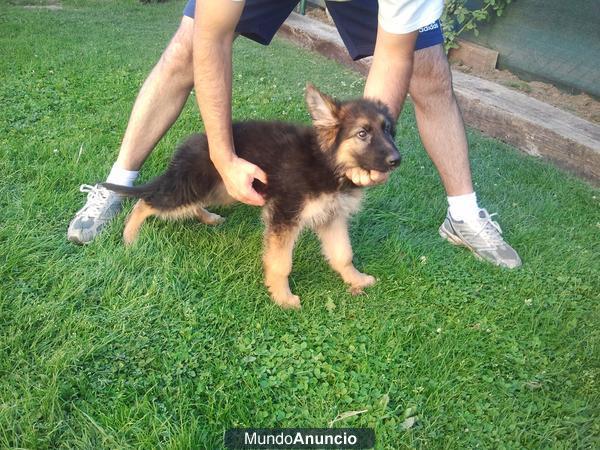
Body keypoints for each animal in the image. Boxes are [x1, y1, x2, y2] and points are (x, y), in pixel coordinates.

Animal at [105, 85, 400, 310]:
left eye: (388, 131)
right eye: (362, 133)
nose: (397, 160)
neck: (328, 163)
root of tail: (191, 144)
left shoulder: (332, 216)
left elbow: (343, 254)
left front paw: (356, 279)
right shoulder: (285, 215)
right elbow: (281, 263)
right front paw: (282, 297)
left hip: (223, 188)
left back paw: (208, 217)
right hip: (192, 188)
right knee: (147, 202)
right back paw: (129, 237)